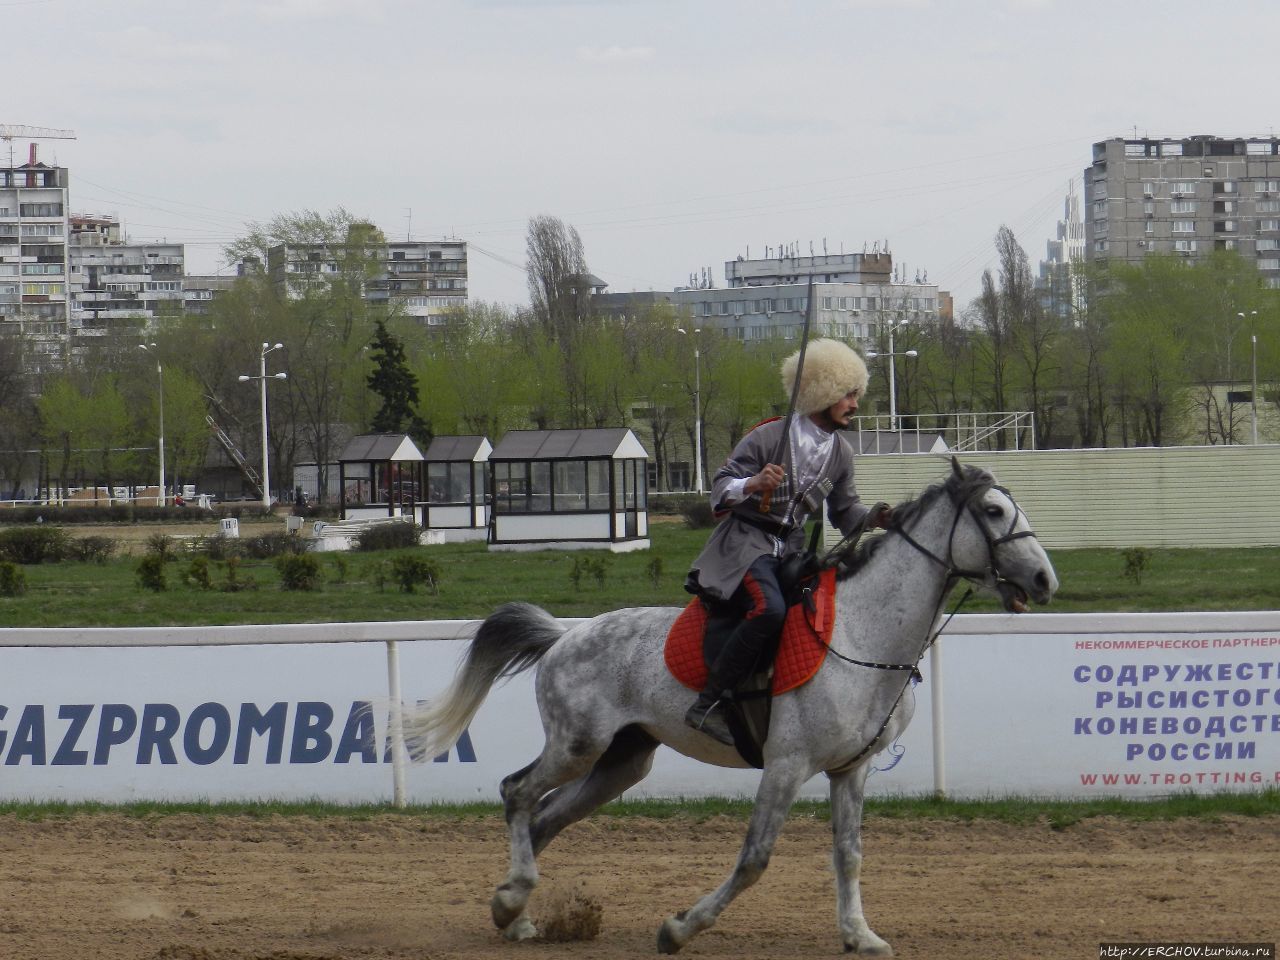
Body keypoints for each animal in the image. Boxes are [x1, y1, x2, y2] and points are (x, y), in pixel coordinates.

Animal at [407, 463, 1059, 957]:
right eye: (993, 512)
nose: (1044, 579)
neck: (863, 633)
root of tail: (565, 635)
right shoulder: (787, 765)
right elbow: (755, 859)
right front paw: (680, 928)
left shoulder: (851, 769)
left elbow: (848, 854)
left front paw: (859, 934)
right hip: (577, 746)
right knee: (517, 793)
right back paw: (513, 897)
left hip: (622, 763)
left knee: (544, 818)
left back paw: (514, 912)